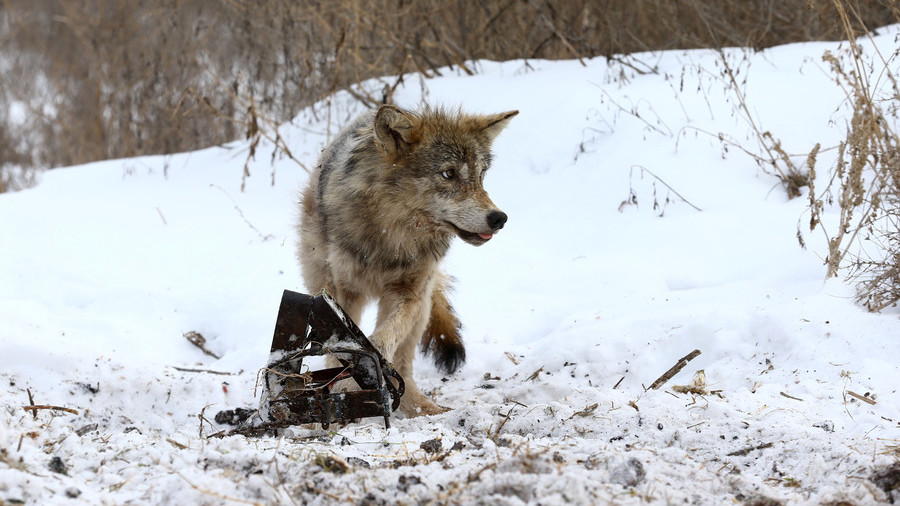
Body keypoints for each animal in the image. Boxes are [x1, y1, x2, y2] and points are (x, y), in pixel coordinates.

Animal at [298, 104, 516, 416]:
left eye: (481, 175)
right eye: (448, 173)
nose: (499, 218)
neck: (392, 235)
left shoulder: (408, 292)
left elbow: (382, 339)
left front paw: (360, 376)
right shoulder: (345, 293)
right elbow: (343, 346)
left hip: (422, 306)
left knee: (403, 361)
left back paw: (423, 407)